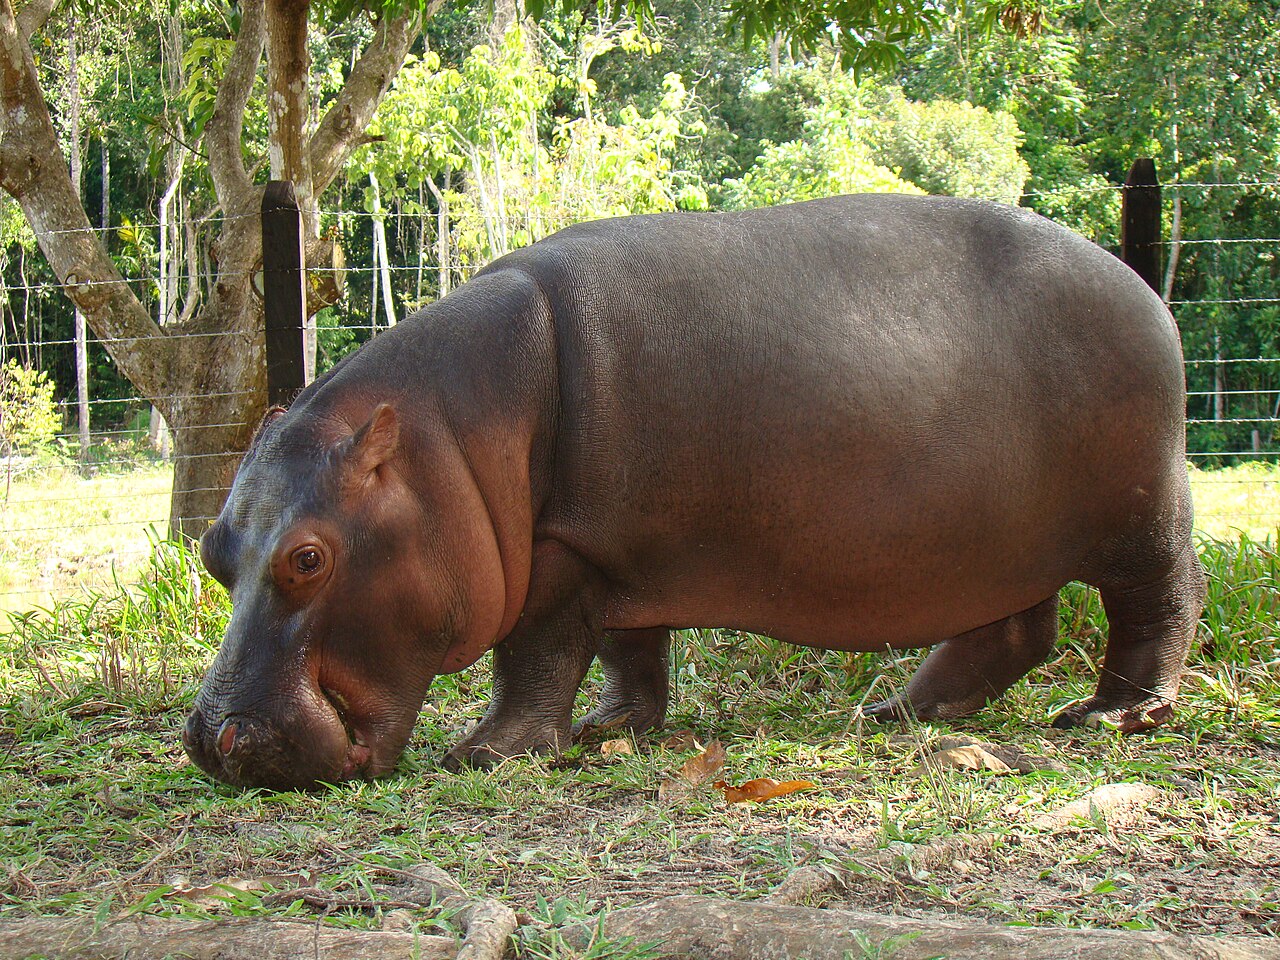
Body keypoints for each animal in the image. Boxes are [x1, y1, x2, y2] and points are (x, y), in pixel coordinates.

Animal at [183, 194, 1206, 790]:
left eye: (308, 557)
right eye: (210, 551)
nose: (214, 741)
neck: (448, 441)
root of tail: (1142, 284)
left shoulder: (562, 548)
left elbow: (538, 652)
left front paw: (485, 752)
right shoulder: (617, 549)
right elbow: (628, 649)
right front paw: (611, 731)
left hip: (1138, 513)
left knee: (1160, 600)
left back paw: (1114, 716)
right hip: (993, 540)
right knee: (1015, 627)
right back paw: (902, 711)